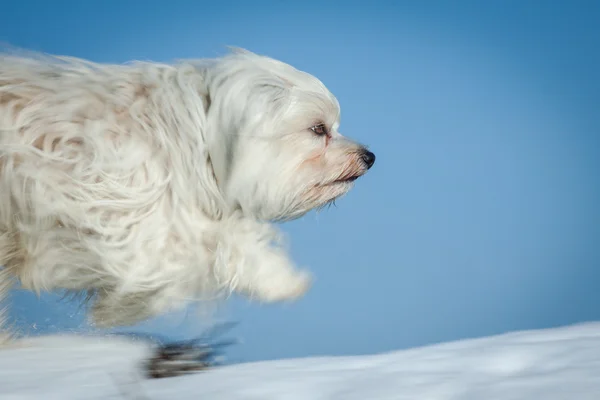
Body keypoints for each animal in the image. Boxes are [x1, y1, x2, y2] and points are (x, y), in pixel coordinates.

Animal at [0, 47, 376, 332]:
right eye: (318, 128)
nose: (369, 157)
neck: (198, 135)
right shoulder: (132, 220)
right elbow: (212, 245)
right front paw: (279, 279)